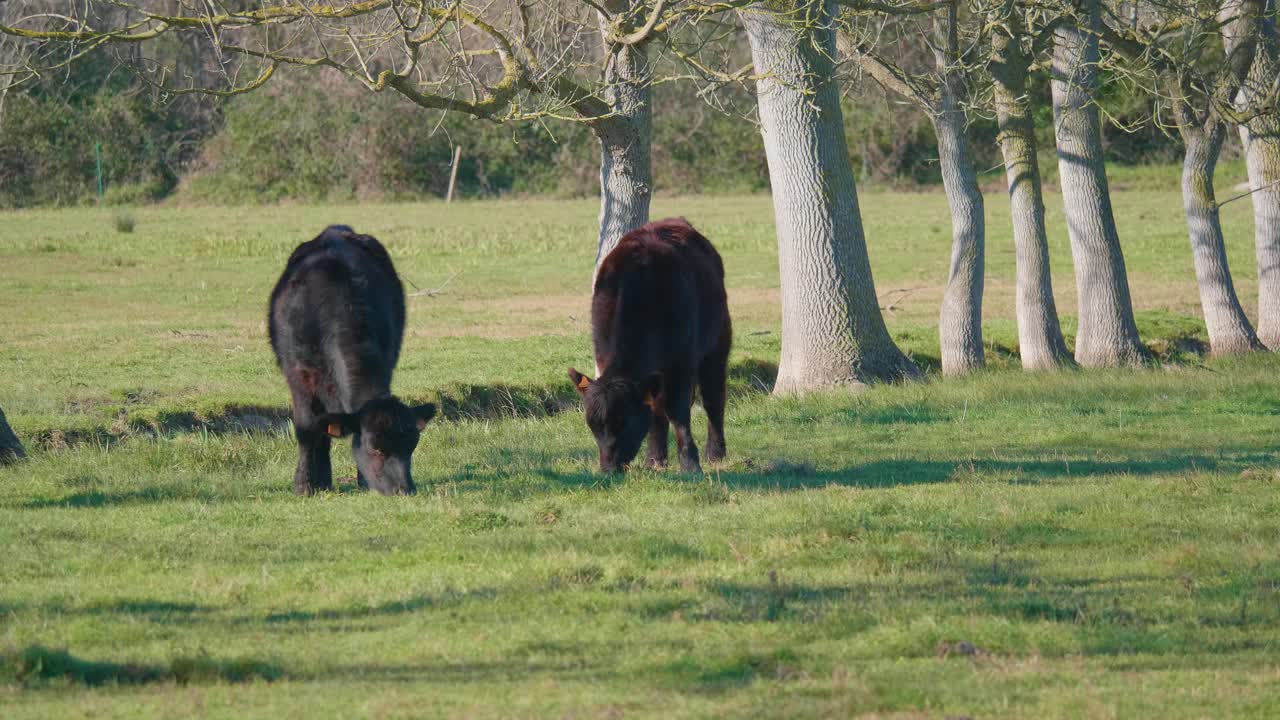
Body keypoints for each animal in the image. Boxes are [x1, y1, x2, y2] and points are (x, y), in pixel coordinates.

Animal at [269, 225, 435, 496]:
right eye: (374, 448)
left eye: (412, 445)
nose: (404, 489)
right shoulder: (299, 375)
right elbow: (307, 429)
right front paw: (305, 484)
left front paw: (363, 483)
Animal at [569, 218, 732, 474]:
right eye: (593, 425)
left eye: (624, 421)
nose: (608, 469)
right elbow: (656, 411)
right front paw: (654, 459)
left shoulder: (681, 363)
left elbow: (678, 411)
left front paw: (690, 463)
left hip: (718, 341)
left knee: (714, 396)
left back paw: (715, 452)